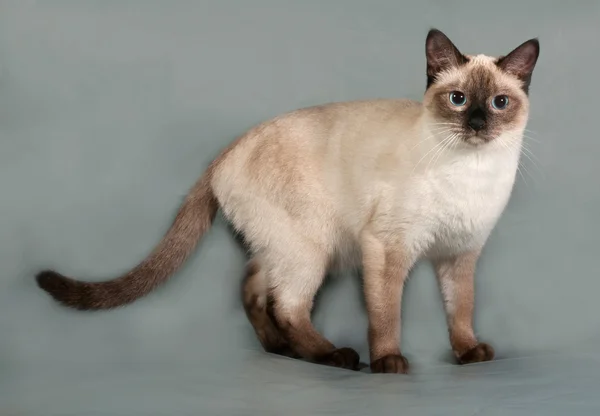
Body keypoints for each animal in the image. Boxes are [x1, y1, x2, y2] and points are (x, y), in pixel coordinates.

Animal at [34, 29, 540, 374]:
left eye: (499, 103)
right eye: (458, 99)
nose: (477, 124)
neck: (472, 171)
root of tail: (227, 150)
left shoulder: (461, 254)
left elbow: (461, 309)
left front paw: (470, 354)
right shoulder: (387, 248)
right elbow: (386, 315)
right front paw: (389, 363)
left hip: (286, 245)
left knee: (254, 289)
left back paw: (282, 350)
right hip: (312, 247)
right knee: (288, 304)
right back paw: (333, 355)